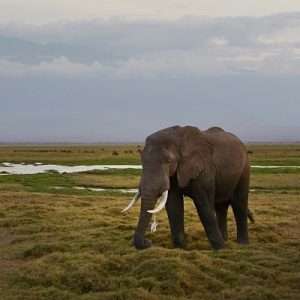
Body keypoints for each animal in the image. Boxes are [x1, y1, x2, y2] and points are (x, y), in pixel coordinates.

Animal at [122, 125, 253, 250]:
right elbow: (174, 205)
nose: (147, 242)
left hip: (244, 168)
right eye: (142, 161)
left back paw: (242, 244)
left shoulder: (204, 169)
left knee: (239, 203)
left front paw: (221, 249)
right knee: (221, 207)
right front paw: (180, 248)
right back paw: (225, 240)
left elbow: (204, 206)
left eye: (168, 161)